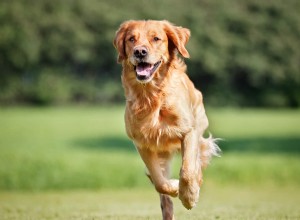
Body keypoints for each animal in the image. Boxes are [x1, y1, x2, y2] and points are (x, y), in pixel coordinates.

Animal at [113, 19, 219, 219]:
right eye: (131, 39)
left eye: (156, 38)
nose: (140, 52)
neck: (151, 96)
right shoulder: (142, 143)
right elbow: (159, 181)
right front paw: (175, 187)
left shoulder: (189, 132)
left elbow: (187, 171)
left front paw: (189, 196)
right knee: (162, 190)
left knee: (197, 166)